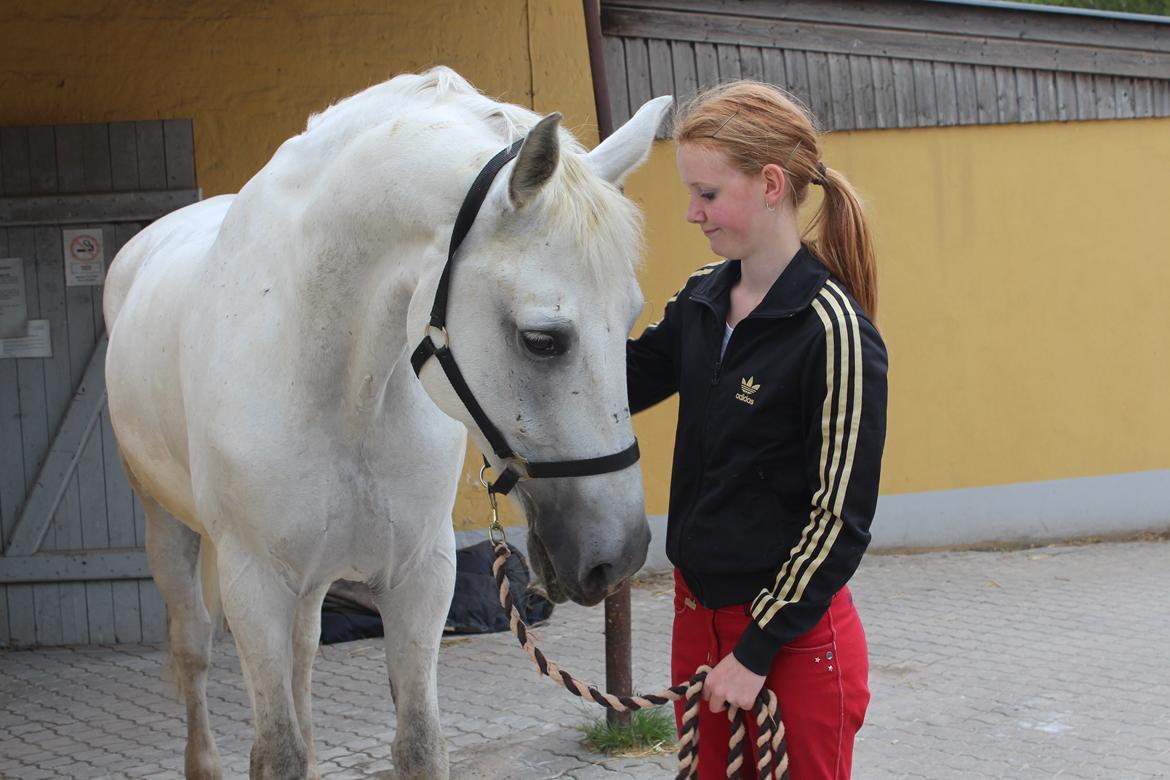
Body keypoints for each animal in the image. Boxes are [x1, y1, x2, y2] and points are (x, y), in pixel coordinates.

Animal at [102, 67, 672, 779]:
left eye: (631, 320)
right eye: (541, 339)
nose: (619, 556)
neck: (344, 389)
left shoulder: (420, 576)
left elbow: (419, 742)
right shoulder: (254, 584)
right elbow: (277, 752)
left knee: (304, 654)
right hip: (169, 528)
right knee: (194, 651)